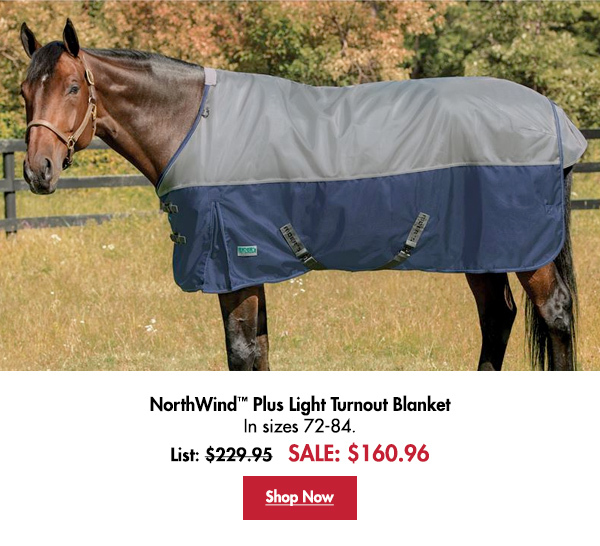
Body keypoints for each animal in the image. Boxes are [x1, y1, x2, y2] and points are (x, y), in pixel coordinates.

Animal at [19, 19, 581, 371]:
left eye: (73, 87)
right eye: (25, 92)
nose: (37, 171)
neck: (194, 125)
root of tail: (555, 117)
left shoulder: (234, 262)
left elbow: (242, 352)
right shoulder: (247, 268)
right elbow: (259, 351)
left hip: (524, 248)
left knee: (555, 314)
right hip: (481, 249)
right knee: (498, 317)